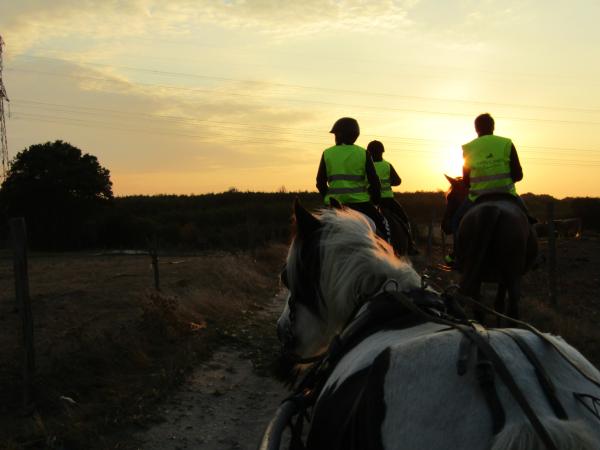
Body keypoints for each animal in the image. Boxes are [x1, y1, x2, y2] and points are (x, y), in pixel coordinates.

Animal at [440, 175, 540, 324]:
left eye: (450, 197)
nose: (444, 225)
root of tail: (491, 210)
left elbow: (497, 305)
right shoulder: (503, 279)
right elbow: (499, 305)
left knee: (478, 306)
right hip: (511, 276)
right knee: (509, 310)